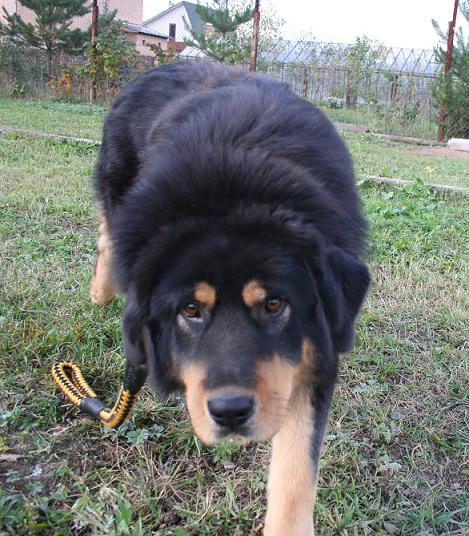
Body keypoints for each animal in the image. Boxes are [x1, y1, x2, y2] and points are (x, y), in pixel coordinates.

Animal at [90, 61, 370, 535]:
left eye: (273, 304)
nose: (230, 412)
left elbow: (295, 474)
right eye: (190, 309)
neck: (236, 196)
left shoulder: (314, 354)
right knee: (107, 233)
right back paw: (100, 292)